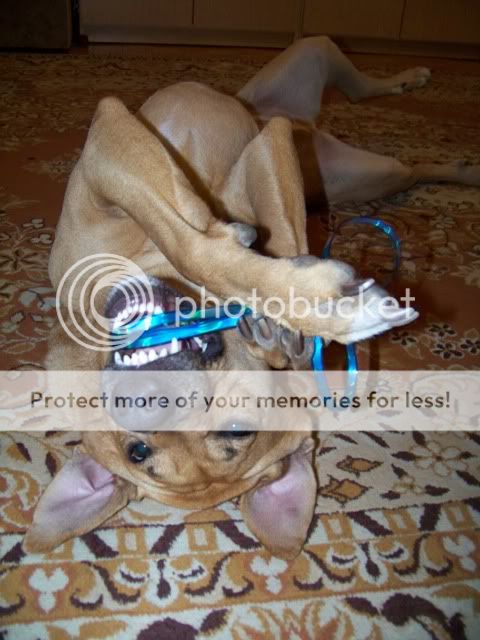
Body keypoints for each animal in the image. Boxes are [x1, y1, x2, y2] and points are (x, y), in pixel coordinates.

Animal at [23, 37, 480, 559]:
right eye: (137, 452)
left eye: (238, 429)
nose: (147, 397)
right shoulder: (109, 144)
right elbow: (194, 236)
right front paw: (295, 325)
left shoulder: (257, 149)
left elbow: (225, 240)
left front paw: (301, 319)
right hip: (350, 160)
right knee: (407, 162)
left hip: (311, 97)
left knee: (372, 116)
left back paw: (423, 101)